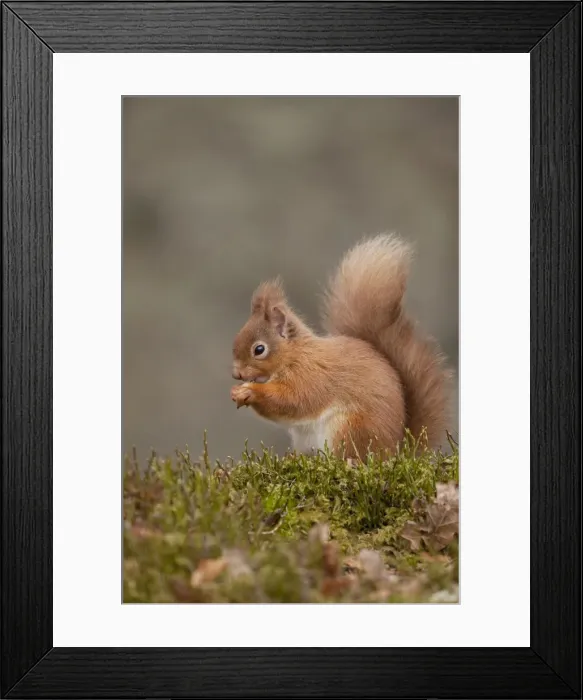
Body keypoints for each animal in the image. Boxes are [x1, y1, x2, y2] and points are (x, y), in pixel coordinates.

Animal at [231, 233, 452, 459]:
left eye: (259, 350)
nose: (236, 374)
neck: (294, 354)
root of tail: (394, 452)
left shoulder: (310, 376)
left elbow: (292, 401)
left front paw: (250, 391)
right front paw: (237, 391)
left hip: (349, 428)